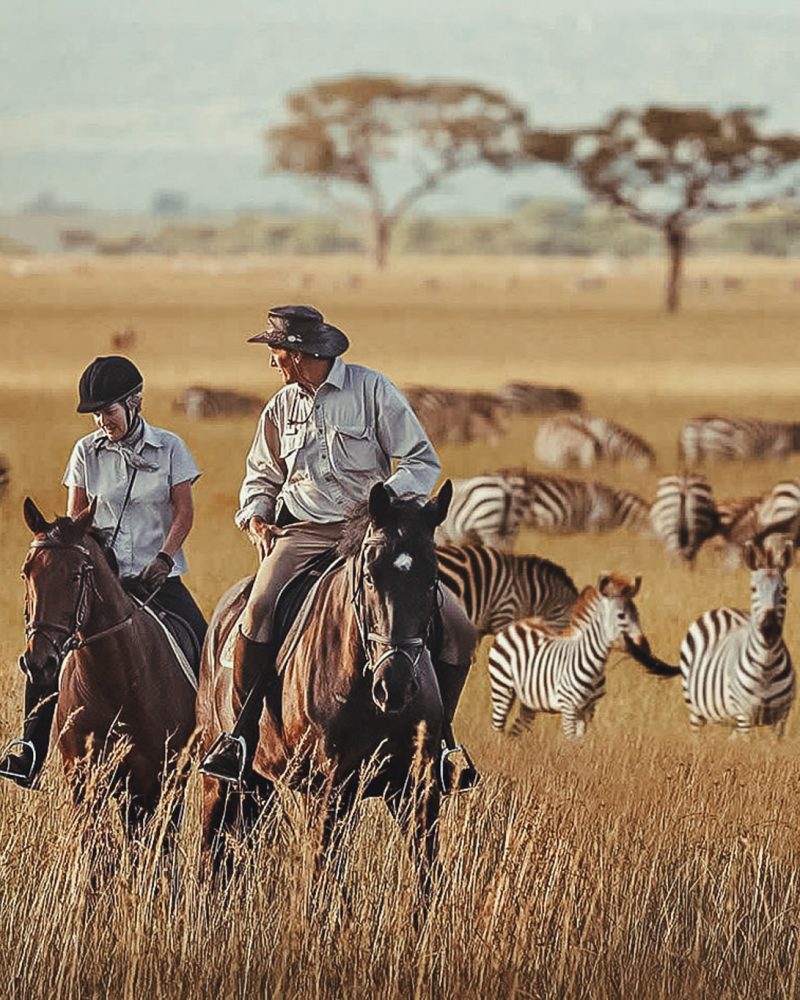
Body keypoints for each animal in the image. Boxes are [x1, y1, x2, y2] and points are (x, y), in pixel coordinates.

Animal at [197, 481, 452, 902]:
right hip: (220, 783)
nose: (395, 687)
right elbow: (321, 879)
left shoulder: (416, 789)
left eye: (432, 580)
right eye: (370, 576)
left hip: (261, 786)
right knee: (211, 854)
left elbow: (427, 878)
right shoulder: (327, 789)